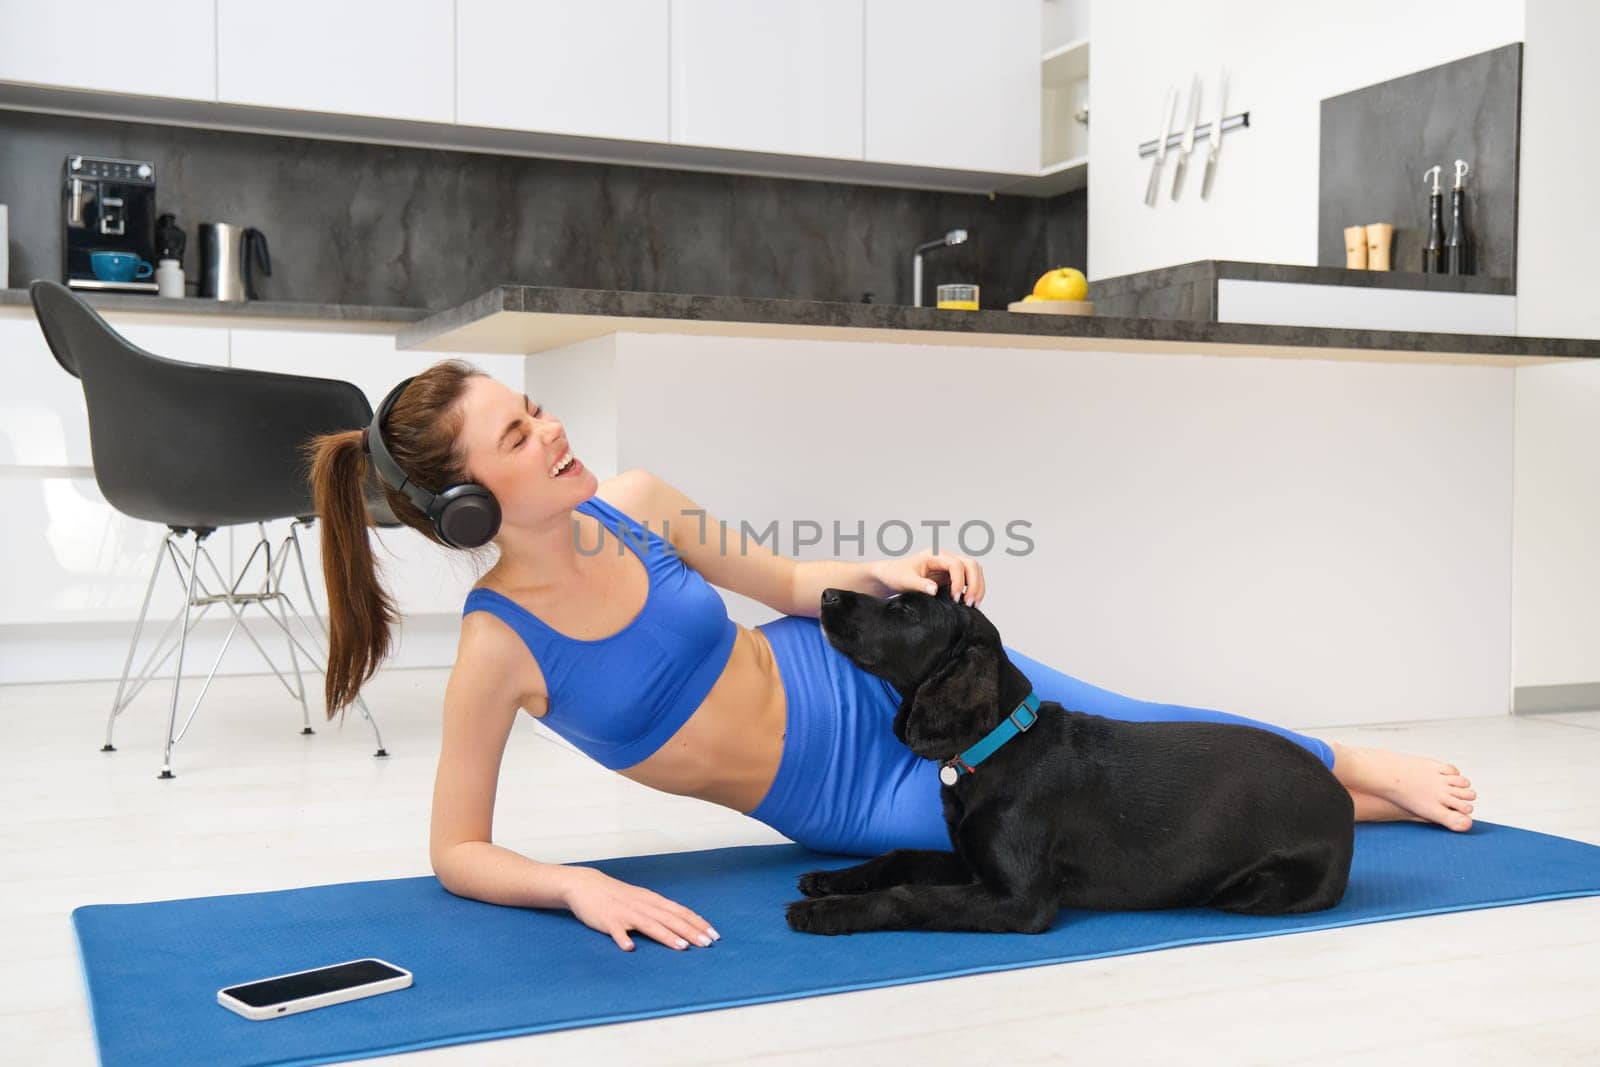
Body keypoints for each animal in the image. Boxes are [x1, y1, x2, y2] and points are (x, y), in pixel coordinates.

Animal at [784, 585, 1350, 934]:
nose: (827, 592)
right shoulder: (970, 861)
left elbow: (907, 896)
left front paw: (827, 912)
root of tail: (1342, 799)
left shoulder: (1019, 899)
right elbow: (901, 858)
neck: (999, 747)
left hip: (1262, 888)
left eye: (904, 612)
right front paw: (832, 880)